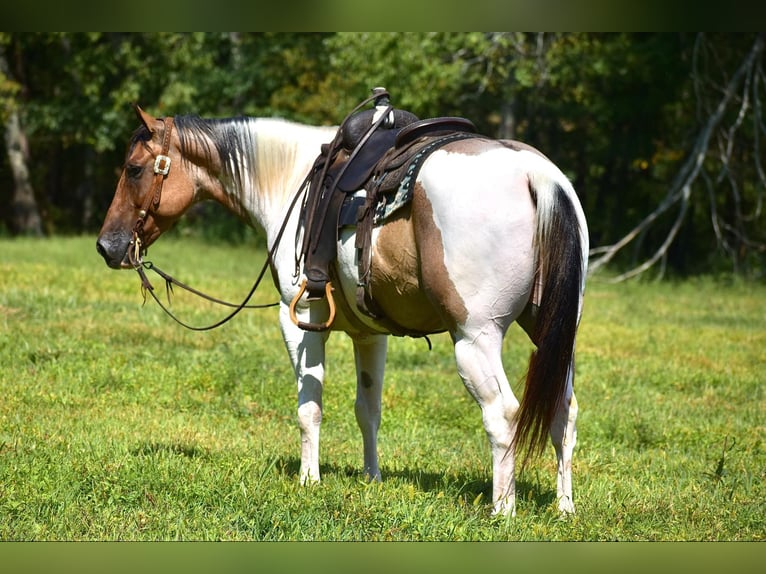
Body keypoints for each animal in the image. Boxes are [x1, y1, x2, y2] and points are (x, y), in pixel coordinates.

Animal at [96, 107, 588, 516]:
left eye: (133, 169)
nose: (107, 246)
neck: (291, 179)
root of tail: (535, 173)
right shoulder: (370, 335)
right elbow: (368, 408)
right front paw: (372, 478)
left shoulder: (300, 319)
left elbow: (308, 407)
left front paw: (308, 480)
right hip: (552, 335)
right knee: (564, 412)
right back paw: (564, 507)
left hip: (475, 339)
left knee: (502, 414)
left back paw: (501, 510)